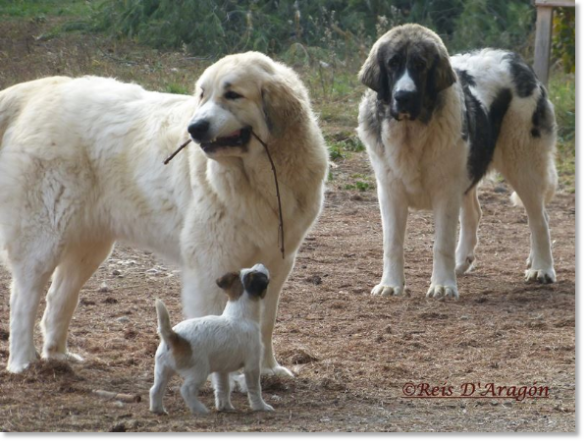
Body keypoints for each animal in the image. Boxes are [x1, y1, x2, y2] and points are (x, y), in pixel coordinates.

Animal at [0, 51, 328, 374]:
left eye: (232, 95)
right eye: (202, 95)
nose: (194, 128)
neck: (258, 177)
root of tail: (40, 89)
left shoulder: (278, 260)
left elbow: (265, 323)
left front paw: (267, 370)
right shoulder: (213, 262)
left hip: (89, 245)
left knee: (58, 298)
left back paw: (58, 356)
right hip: (43, 239)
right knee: (24, 299)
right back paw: (23, 362)